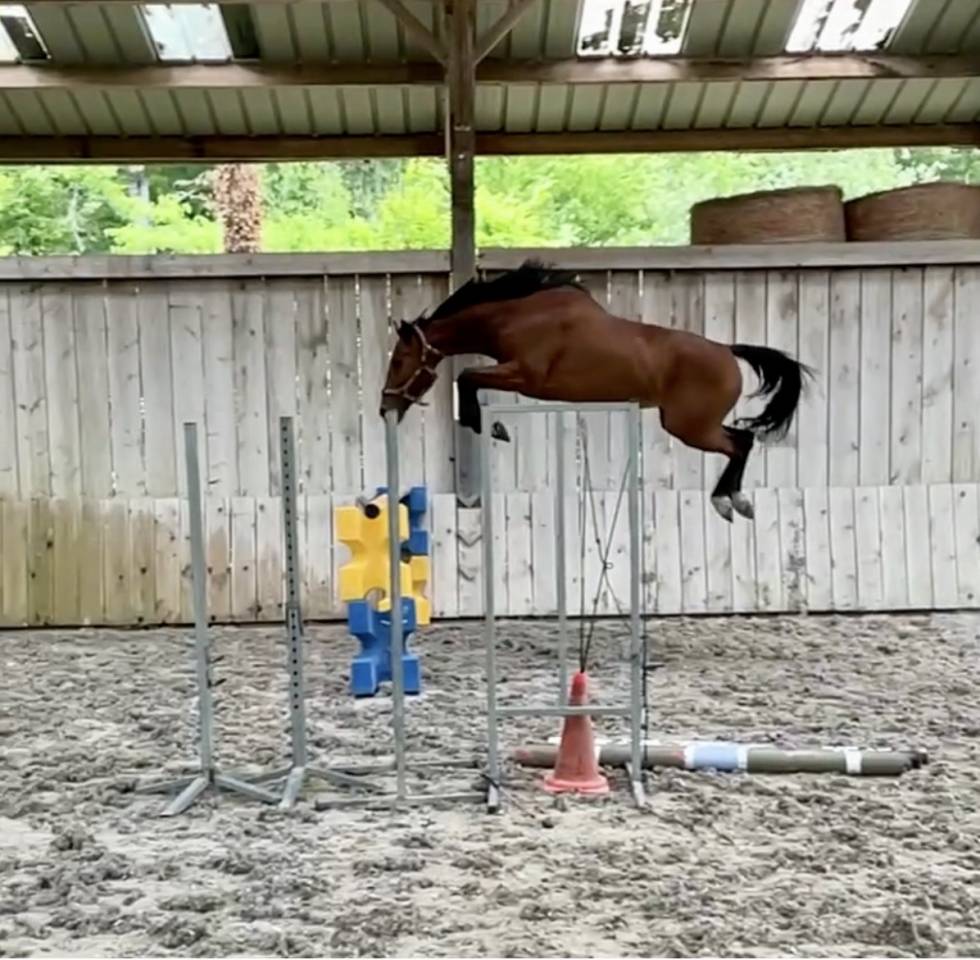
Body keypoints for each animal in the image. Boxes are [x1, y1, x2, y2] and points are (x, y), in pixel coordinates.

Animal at [379, 260, 812, 522]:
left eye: (398, 360)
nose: (386, 406)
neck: (517, 315)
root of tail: (727, 351)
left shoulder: (525, 376)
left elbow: (466, 377)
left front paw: (491, 427)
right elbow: (468, 378)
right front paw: (492, 426)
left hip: (689, 427)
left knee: (740, 443)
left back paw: (729, 501)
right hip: (691, 425)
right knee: (743, 441)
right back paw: (734, 500)